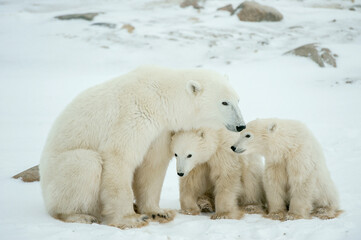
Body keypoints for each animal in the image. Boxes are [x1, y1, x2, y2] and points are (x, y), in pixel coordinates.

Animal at [39, 65, 245, 229]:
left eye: (238, 99)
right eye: (224, 102)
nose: (241, 126)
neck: (161, 97)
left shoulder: (160, 130)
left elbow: (152, 165)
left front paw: (158, 212)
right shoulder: (134, 115)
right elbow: (119, 157)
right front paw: (131, 219)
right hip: (57, 175)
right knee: (85, 164)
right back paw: (78, 215)